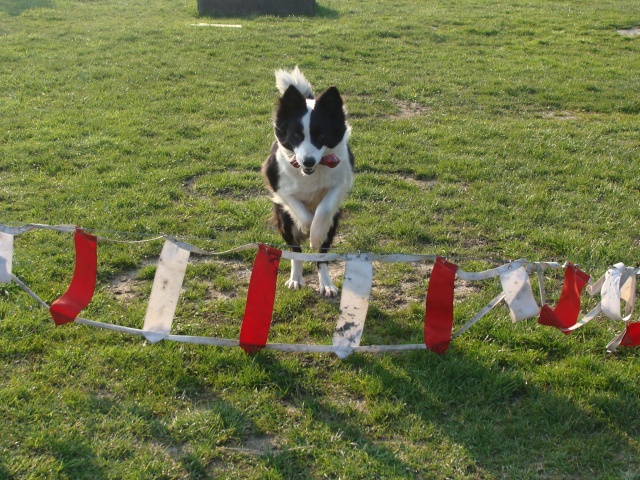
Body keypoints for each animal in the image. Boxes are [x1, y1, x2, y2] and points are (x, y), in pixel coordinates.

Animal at [264, 67, 356, 296]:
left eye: (321, 136)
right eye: (296, 135)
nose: (308, 161)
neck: (311, 172)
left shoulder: (342, 181)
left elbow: (324, 208)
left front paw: (316, 234)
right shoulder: (276, 183)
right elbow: (302, 212)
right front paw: (307, 228)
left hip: (334, 224)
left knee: (321, 257)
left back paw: (326, 284)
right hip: (284, 222)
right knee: (295, 251)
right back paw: (296, 279)